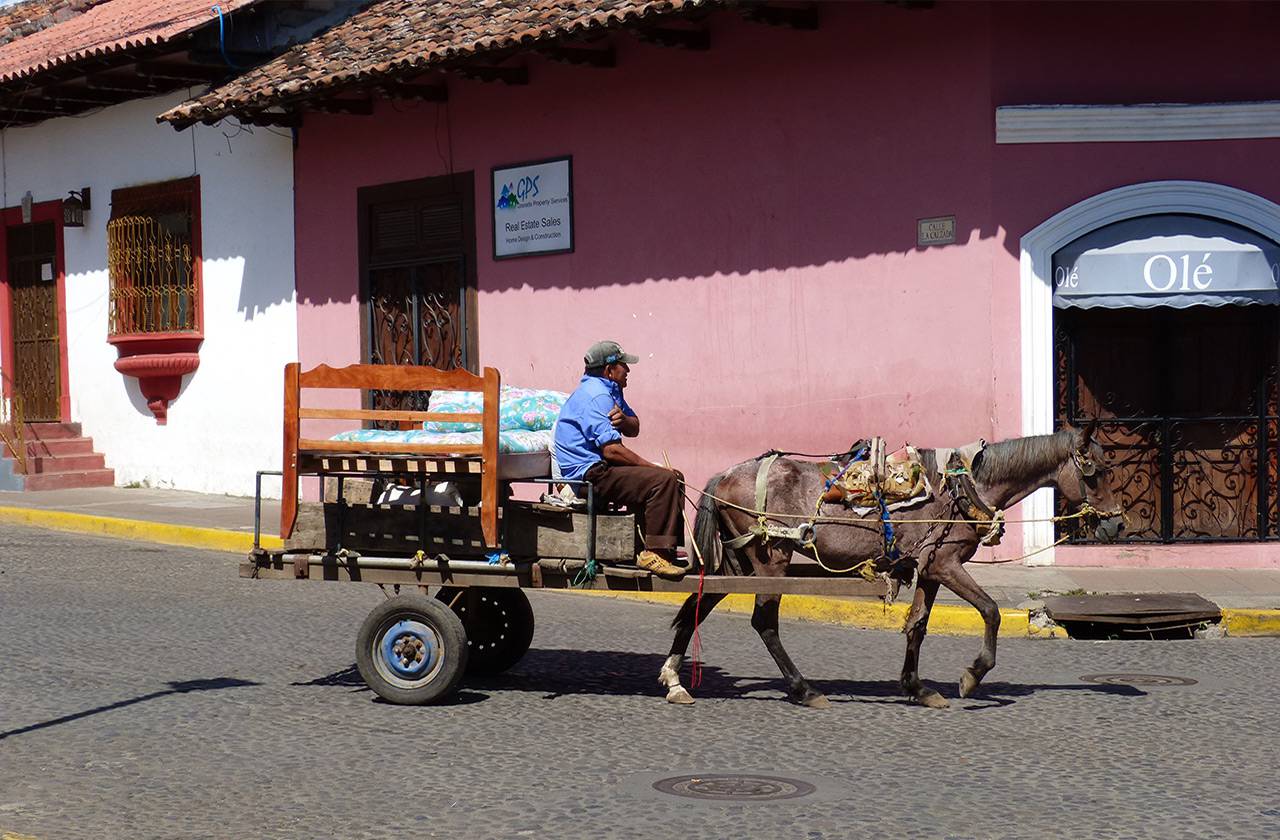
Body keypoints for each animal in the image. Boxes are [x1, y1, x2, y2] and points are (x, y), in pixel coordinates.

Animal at [660, 427, 1121, 706]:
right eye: (1095, 473)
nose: (1117, 523)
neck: (964, 487)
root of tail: (723, 476)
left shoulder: (930, 568)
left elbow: (917, 625)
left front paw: (917, 687)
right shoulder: (947, 564)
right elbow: (990, 611)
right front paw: (972, 676)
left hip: (739, 560)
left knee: (699, 605)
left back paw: (674, 679)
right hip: (770, 558)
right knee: (764, 623)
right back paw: (803, 689)